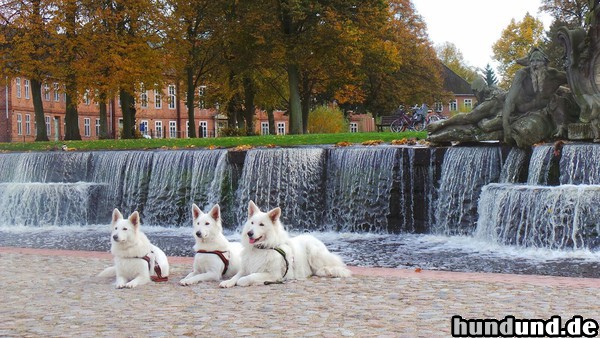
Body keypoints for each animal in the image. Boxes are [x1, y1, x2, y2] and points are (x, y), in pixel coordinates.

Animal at [220, 201, 352, 288]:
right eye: (252, 223)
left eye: (261, 224)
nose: (249, 233)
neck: (262, 248)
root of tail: (313, 237)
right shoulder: (246, 268)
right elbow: (236, 276)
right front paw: (228, 282)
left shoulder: (273, 274)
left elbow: (248, 277)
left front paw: (243, 281)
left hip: (314, 252)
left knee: (329, 265)